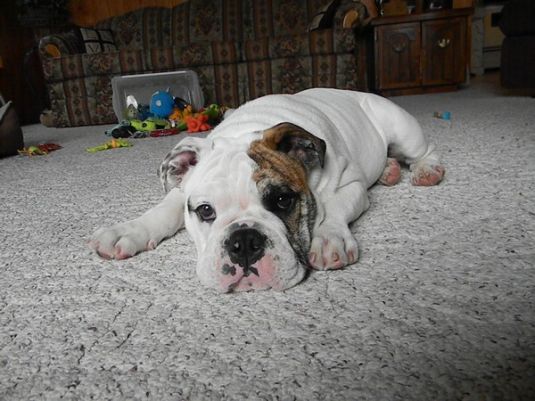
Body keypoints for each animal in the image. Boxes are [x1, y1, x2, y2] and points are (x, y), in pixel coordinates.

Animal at [90, 89, 446, 292]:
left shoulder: (350, 184)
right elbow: (163, 210)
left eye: (282, 200)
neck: (245, 131)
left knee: (424, 149)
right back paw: (389, 170)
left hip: (402, 129)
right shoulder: (180, 191)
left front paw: (328, 239)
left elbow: (332, 209)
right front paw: (127, 231)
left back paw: (426, 170)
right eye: (205, 211)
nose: (244, 242)